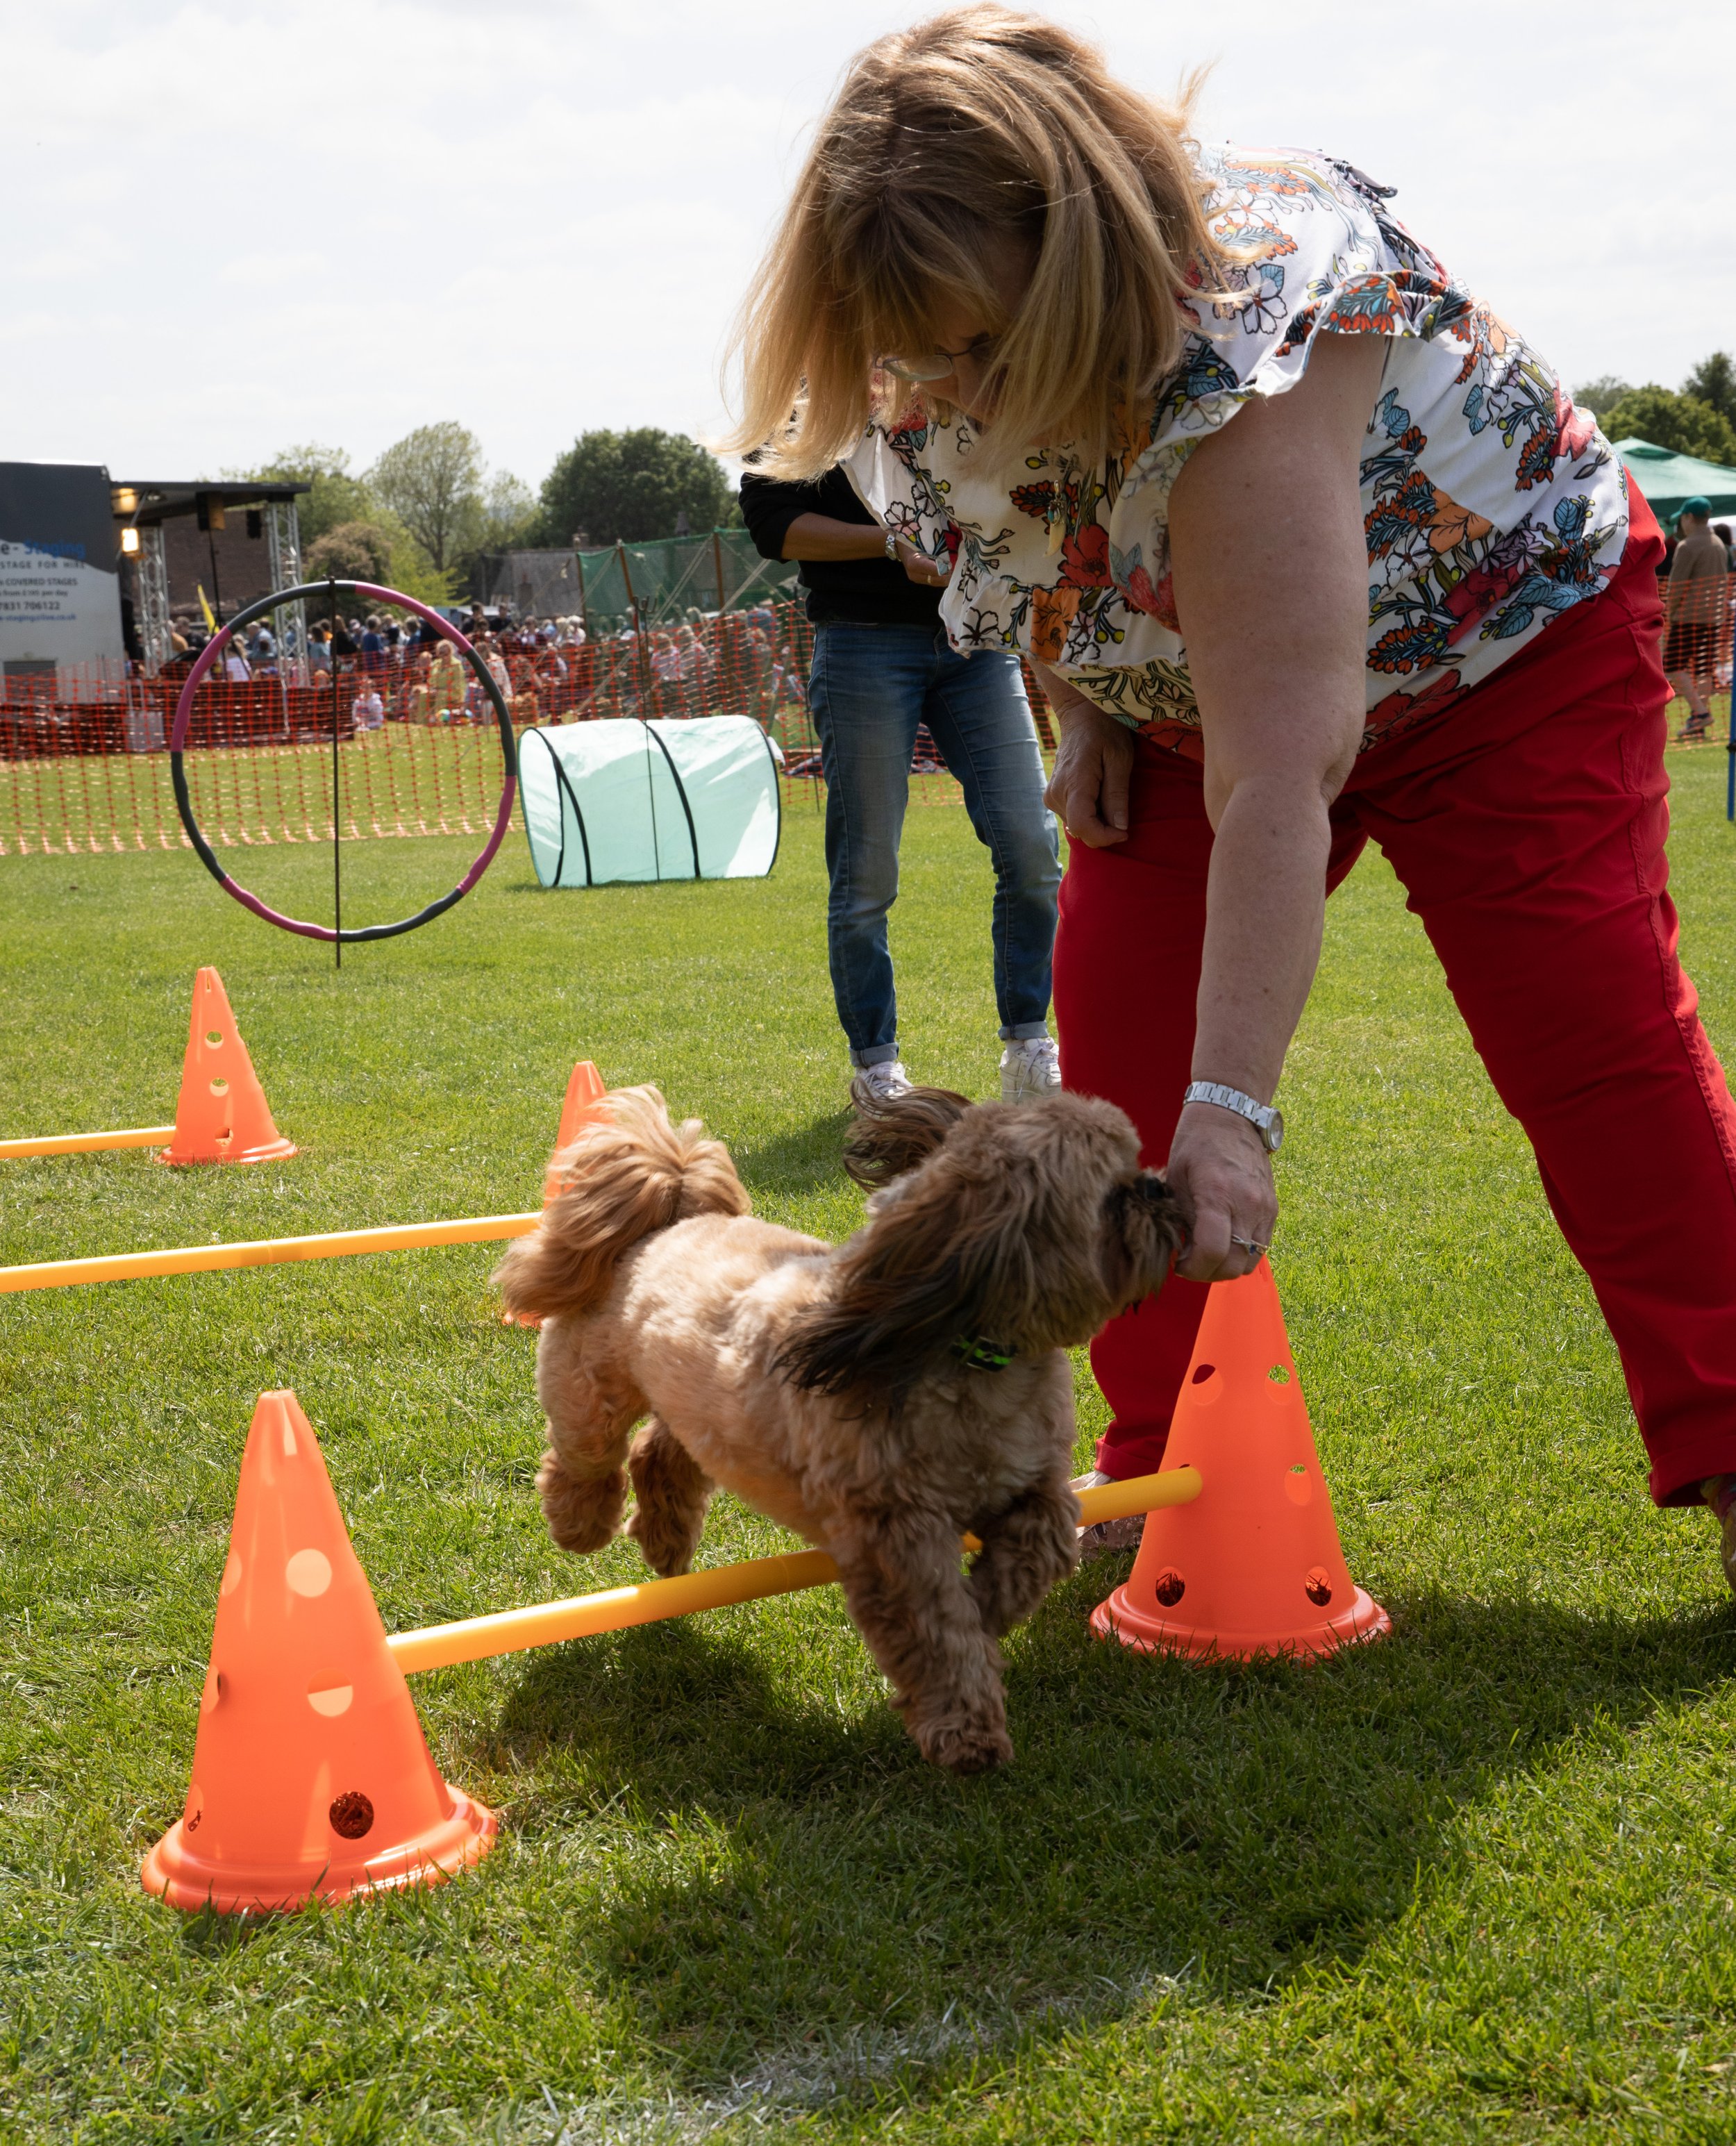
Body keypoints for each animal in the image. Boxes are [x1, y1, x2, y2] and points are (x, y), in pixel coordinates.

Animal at [493, 1081, 1184, 1768]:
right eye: (1113, 1195)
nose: (1162, 1189)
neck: (964, 1350)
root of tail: (666, 1222)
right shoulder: (895, 1537)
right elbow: (940, 1633)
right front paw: (966, 1729)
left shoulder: (1034, 1487)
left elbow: (1040, 1551)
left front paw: (987, 1605)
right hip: (593, 1395)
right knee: (585, 1459)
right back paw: (581, 1524)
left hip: (700, 1410)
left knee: (659, 1455)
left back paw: (666, 1541)